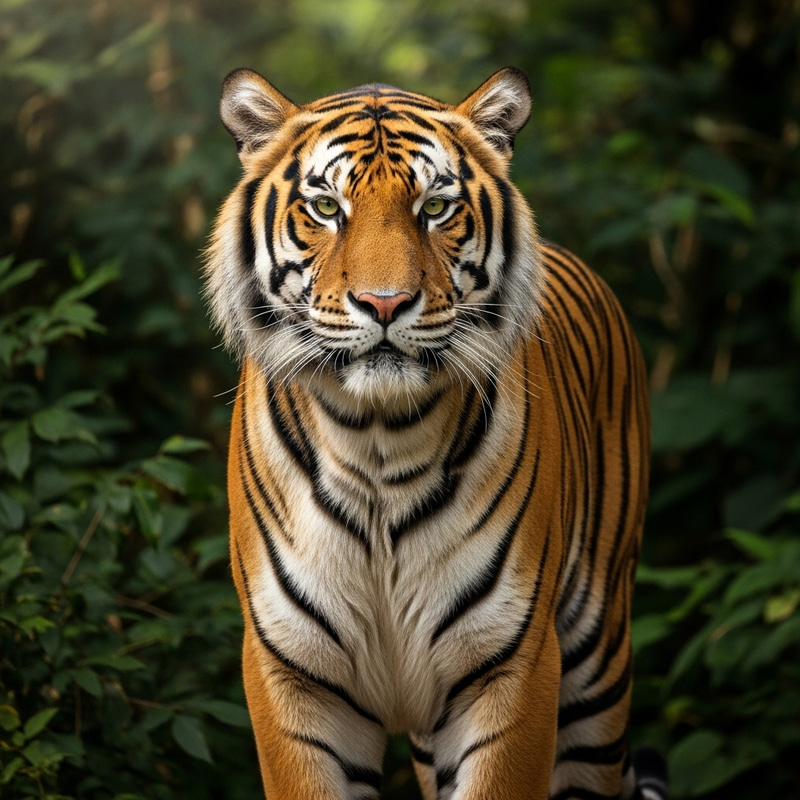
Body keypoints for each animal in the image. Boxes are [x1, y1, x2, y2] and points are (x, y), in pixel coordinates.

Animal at [204, 66, 668, 800]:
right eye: (327, 208)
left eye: (437, 208)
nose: (385, 303)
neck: (375, 439)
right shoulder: (292, 675)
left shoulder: (513, 665)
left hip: (597, 663)